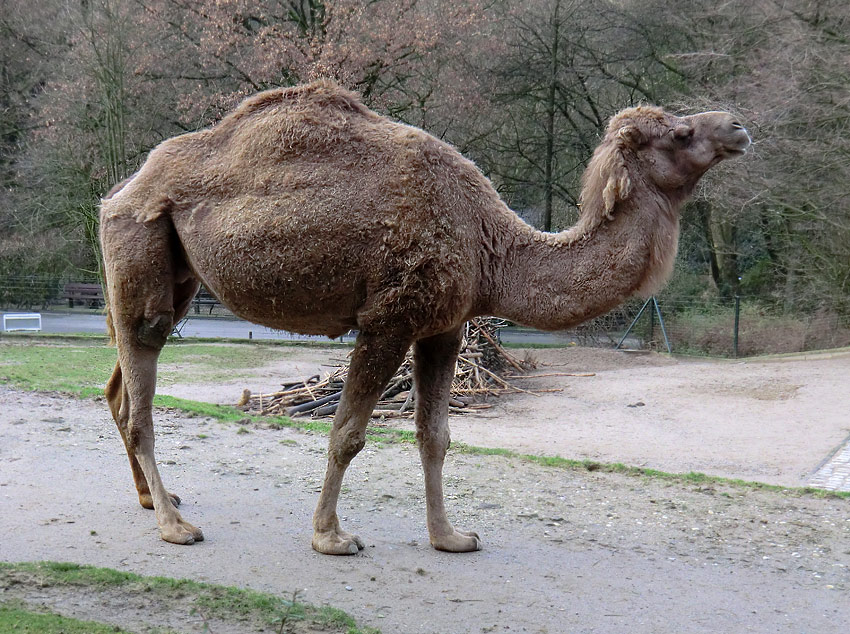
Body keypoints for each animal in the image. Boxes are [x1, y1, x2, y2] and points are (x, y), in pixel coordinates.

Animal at [101, 80, 748, 552]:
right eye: (682, 131)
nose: (738, 126)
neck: (491, 246)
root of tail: (121, 191)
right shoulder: (389, 318)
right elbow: (348, 433)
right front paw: (331, 537)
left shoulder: (445, 326)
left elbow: (434, 435)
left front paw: (450, 537)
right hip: (139, 243)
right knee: (140, 391)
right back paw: (175, 527)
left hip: (177, 275)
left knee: (121, 384)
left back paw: (156, 500)